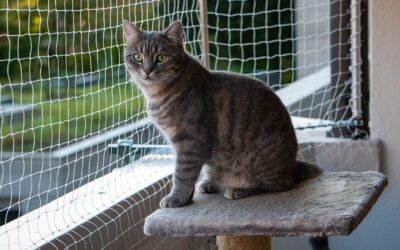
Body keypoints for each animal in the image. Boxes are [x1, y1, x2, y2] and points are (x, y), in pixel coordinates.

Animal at [122, 20, 322, 209]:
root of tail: (292, 165)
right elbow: (186, 175)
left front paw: (176, 199)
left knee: (279, 184)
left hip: (261, 164)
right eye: (137, 57)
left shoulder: (190, 143)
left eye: (161, 57)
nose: (147, 70)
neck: (158, 94)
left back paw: (238, 189)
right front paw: (186, 197)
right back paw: (211, 183)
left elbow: (182, 174)